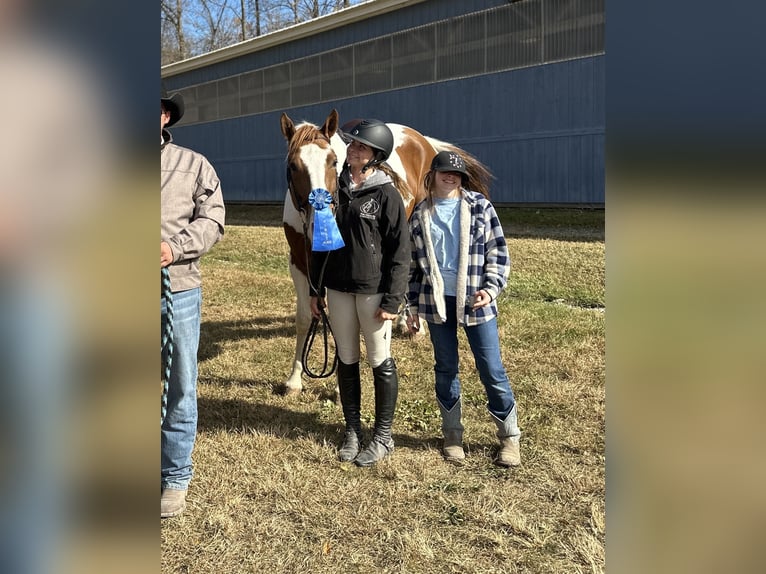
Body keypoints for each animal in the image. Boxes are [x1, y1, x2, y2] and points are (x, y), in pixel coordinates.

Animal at [280, 109, 492, 396]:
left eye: (334, 162)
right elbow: (305, 318)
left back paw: (413, 325)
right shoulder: (300, 263)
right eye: (293, 166)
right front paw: (294, 380)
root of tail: (423, 140)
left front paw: (339, 388)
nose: (319, 224)